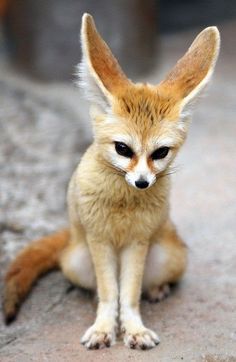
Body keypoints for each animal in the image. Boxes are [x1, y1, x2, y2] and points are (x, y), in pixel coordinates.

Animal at [2, 12, 220, 350]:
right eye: (122, 149)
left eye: (160, 152)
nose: (142, 182)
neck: (122, 204)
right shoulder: (99, 240)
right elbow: (110, 293)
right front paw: (105, 327)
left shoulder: (137, 242)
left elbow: (128, 295)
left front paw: (134, 329)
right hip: (78, 261)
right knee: (101, 287)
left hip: (169, 257)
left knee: (146, 284)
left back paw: (157, 289)